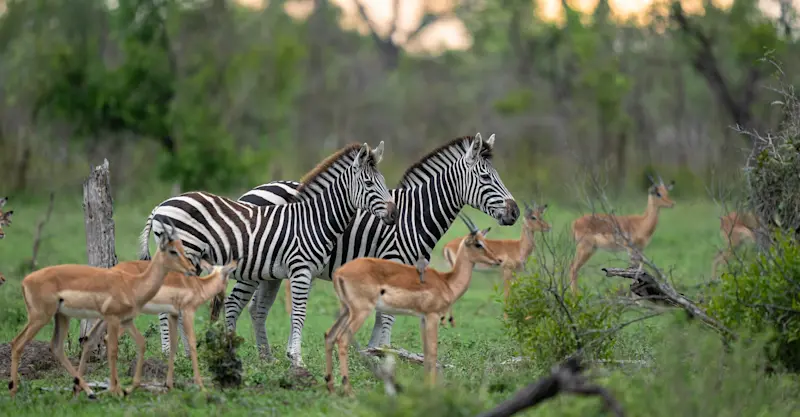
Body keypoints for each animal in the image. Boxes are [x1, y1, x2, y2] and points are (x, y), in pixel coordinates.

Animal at [8, 219, 195, 399]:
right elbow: (112, 349)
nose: (191, 269)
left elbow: (141, 343)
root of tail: (25, 280)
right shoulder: (112, 319)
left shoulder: (126, 320)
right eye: (172, 251)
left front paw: (127, 389)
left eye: (181, 247)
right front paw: (116, 390)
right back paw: (13, 391)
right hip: (40, 317)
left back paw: (89, 392)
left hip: (60, 317)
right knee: (17, 343)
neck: (133, 284)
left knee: (56, 347)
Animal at [77, 256, 239, 392]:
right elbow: (192, 344)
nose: (223, 296)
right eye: (228, 275)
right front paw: (201, 386)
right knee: (105, 338)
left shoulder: (173, 315)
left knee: (90, 338)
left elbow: (173, 345)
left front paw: (169, 384)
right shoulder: (187, 312)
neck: (198, 285)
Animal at [138, 142, 398, 368]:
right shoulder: (300, 269)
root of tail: (160, 206)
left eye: (383, 182)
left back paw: (186, 352)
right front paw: (297, 360)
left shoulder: (304, 273)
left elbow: (294, 313)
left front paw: (291, 356)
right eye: (368, 183)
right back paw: (172, 354)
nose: (394, 215)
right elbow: (300, 314)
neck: (314, 220)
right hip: (183, 257)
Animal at [206, 133, 519, 359]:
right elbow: (388, 317)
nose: (515, 212)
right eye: (486, 177)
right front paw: (384, 353)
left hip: (270, 270)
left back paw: (266, 359)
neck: (414, 215)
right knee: (234, 304)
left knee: (257, 309)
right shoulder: (393, 263)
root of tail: (251, 191)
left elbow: (383, 316)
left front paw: (377, 351)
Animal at [323, 213, 501, 395]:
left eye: (485, 241)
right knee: (342, 339)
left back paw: (331, 388)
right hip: (360, 311)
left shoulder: (423, 318)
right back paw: (349, 391)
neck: (446, 281)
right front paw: (432, 389)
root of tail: (339, 273)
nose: (497, 260)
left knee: (329, 335)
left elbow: (426, 353)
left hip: (346, 310)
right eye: (478, 244)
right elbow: (433, 352)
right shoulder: (433, 316)